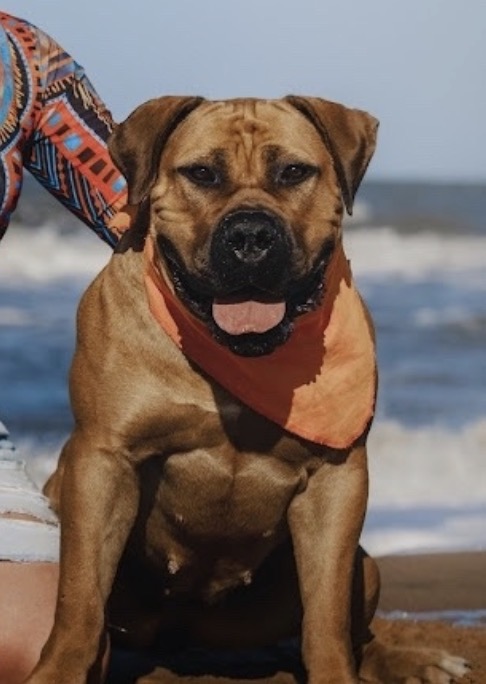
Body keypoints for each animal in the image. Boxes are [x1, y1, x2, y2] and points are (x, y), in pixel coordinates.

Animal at [27, 96, 469, 683]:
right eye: (201, 174)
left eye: (294, 172)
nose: (251, 235)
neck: (238, 356)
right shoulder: (103, 460)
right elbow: (78, 602)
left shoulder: (338, 478)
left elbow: (326, 619)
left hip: (364, 566)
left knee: (348, 631)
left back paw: (409, 660)